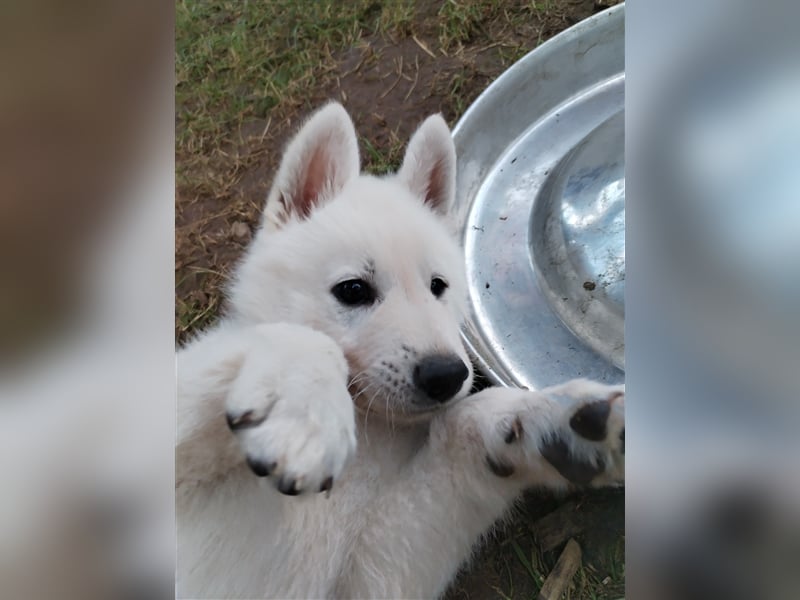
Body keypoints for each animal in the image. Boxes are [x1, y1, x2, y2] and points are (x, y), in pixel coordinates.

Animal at [177, 104, 624, 600]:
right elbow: (300, 341)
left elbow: (460, 427)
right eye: (353, 290)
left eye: (438, 286)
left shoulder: (366, 581)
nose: (447, 376)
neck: (367, 437)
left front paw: (547, 419)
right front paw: (304, 414)